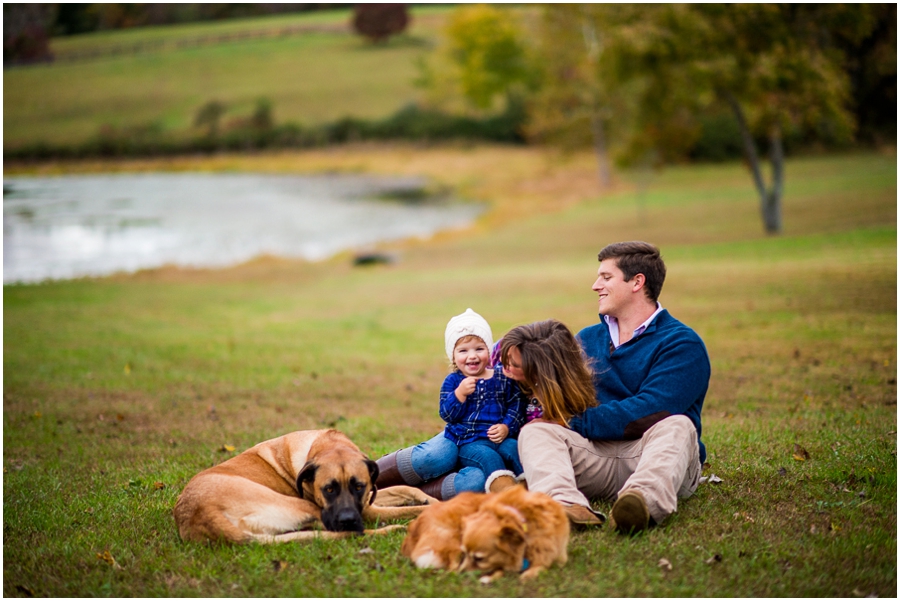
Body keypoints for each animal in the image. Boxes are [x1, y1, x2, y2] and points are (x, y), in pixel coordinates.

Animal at [175, 426, 436, 544]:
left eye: (359, 486)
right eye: (328, 489)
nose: (347, 519)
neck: (326, 444)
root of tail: (203, 514)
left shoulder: (366, 499)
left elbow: (403, 488)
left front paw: (429, 498)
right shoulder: (367, 511)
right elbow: (411, 508)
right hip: (304, 507)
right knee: (349, 533)